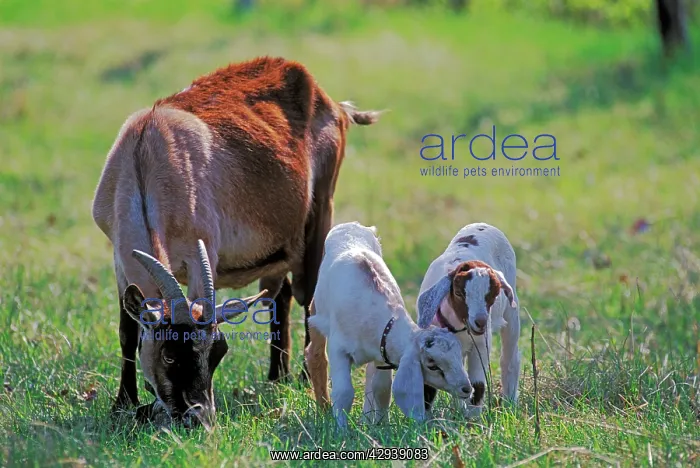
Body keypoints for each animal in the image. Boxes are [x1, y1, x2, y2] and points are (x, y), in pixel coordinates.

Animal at [91, 56, 380, 423]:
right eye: (170, 354)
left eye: (218, 351)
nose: (199, 416)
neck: (146, 156)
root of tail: (334, 104)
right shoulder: (118, 253)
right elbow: (127, 331)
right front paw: (123, 402)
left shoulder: (202, 252)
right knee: (281, 293)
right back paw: (278, 375)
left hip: (320, 211)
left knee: (309, 296)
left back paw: (302, 375)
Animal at [305, 222, 472, 428]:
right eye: (432, 365)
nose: (466, 389)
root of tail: (352, 225)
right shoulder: (339, 349)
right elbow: (344, 392)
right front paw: (341, 428)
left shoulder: (383, 353)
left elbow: (382, 390)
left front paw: (381, 423)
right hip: (316, 312)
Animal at [416, 222, 520, 418]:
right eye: (458, 292)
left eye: (494, 293)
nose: (480, 322)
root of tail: (482, 224)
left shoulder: (481, 345)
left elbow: (478, 383)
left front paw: (473, 418)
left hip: (511, 310)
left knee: (510, 357)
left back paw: (510, 403)